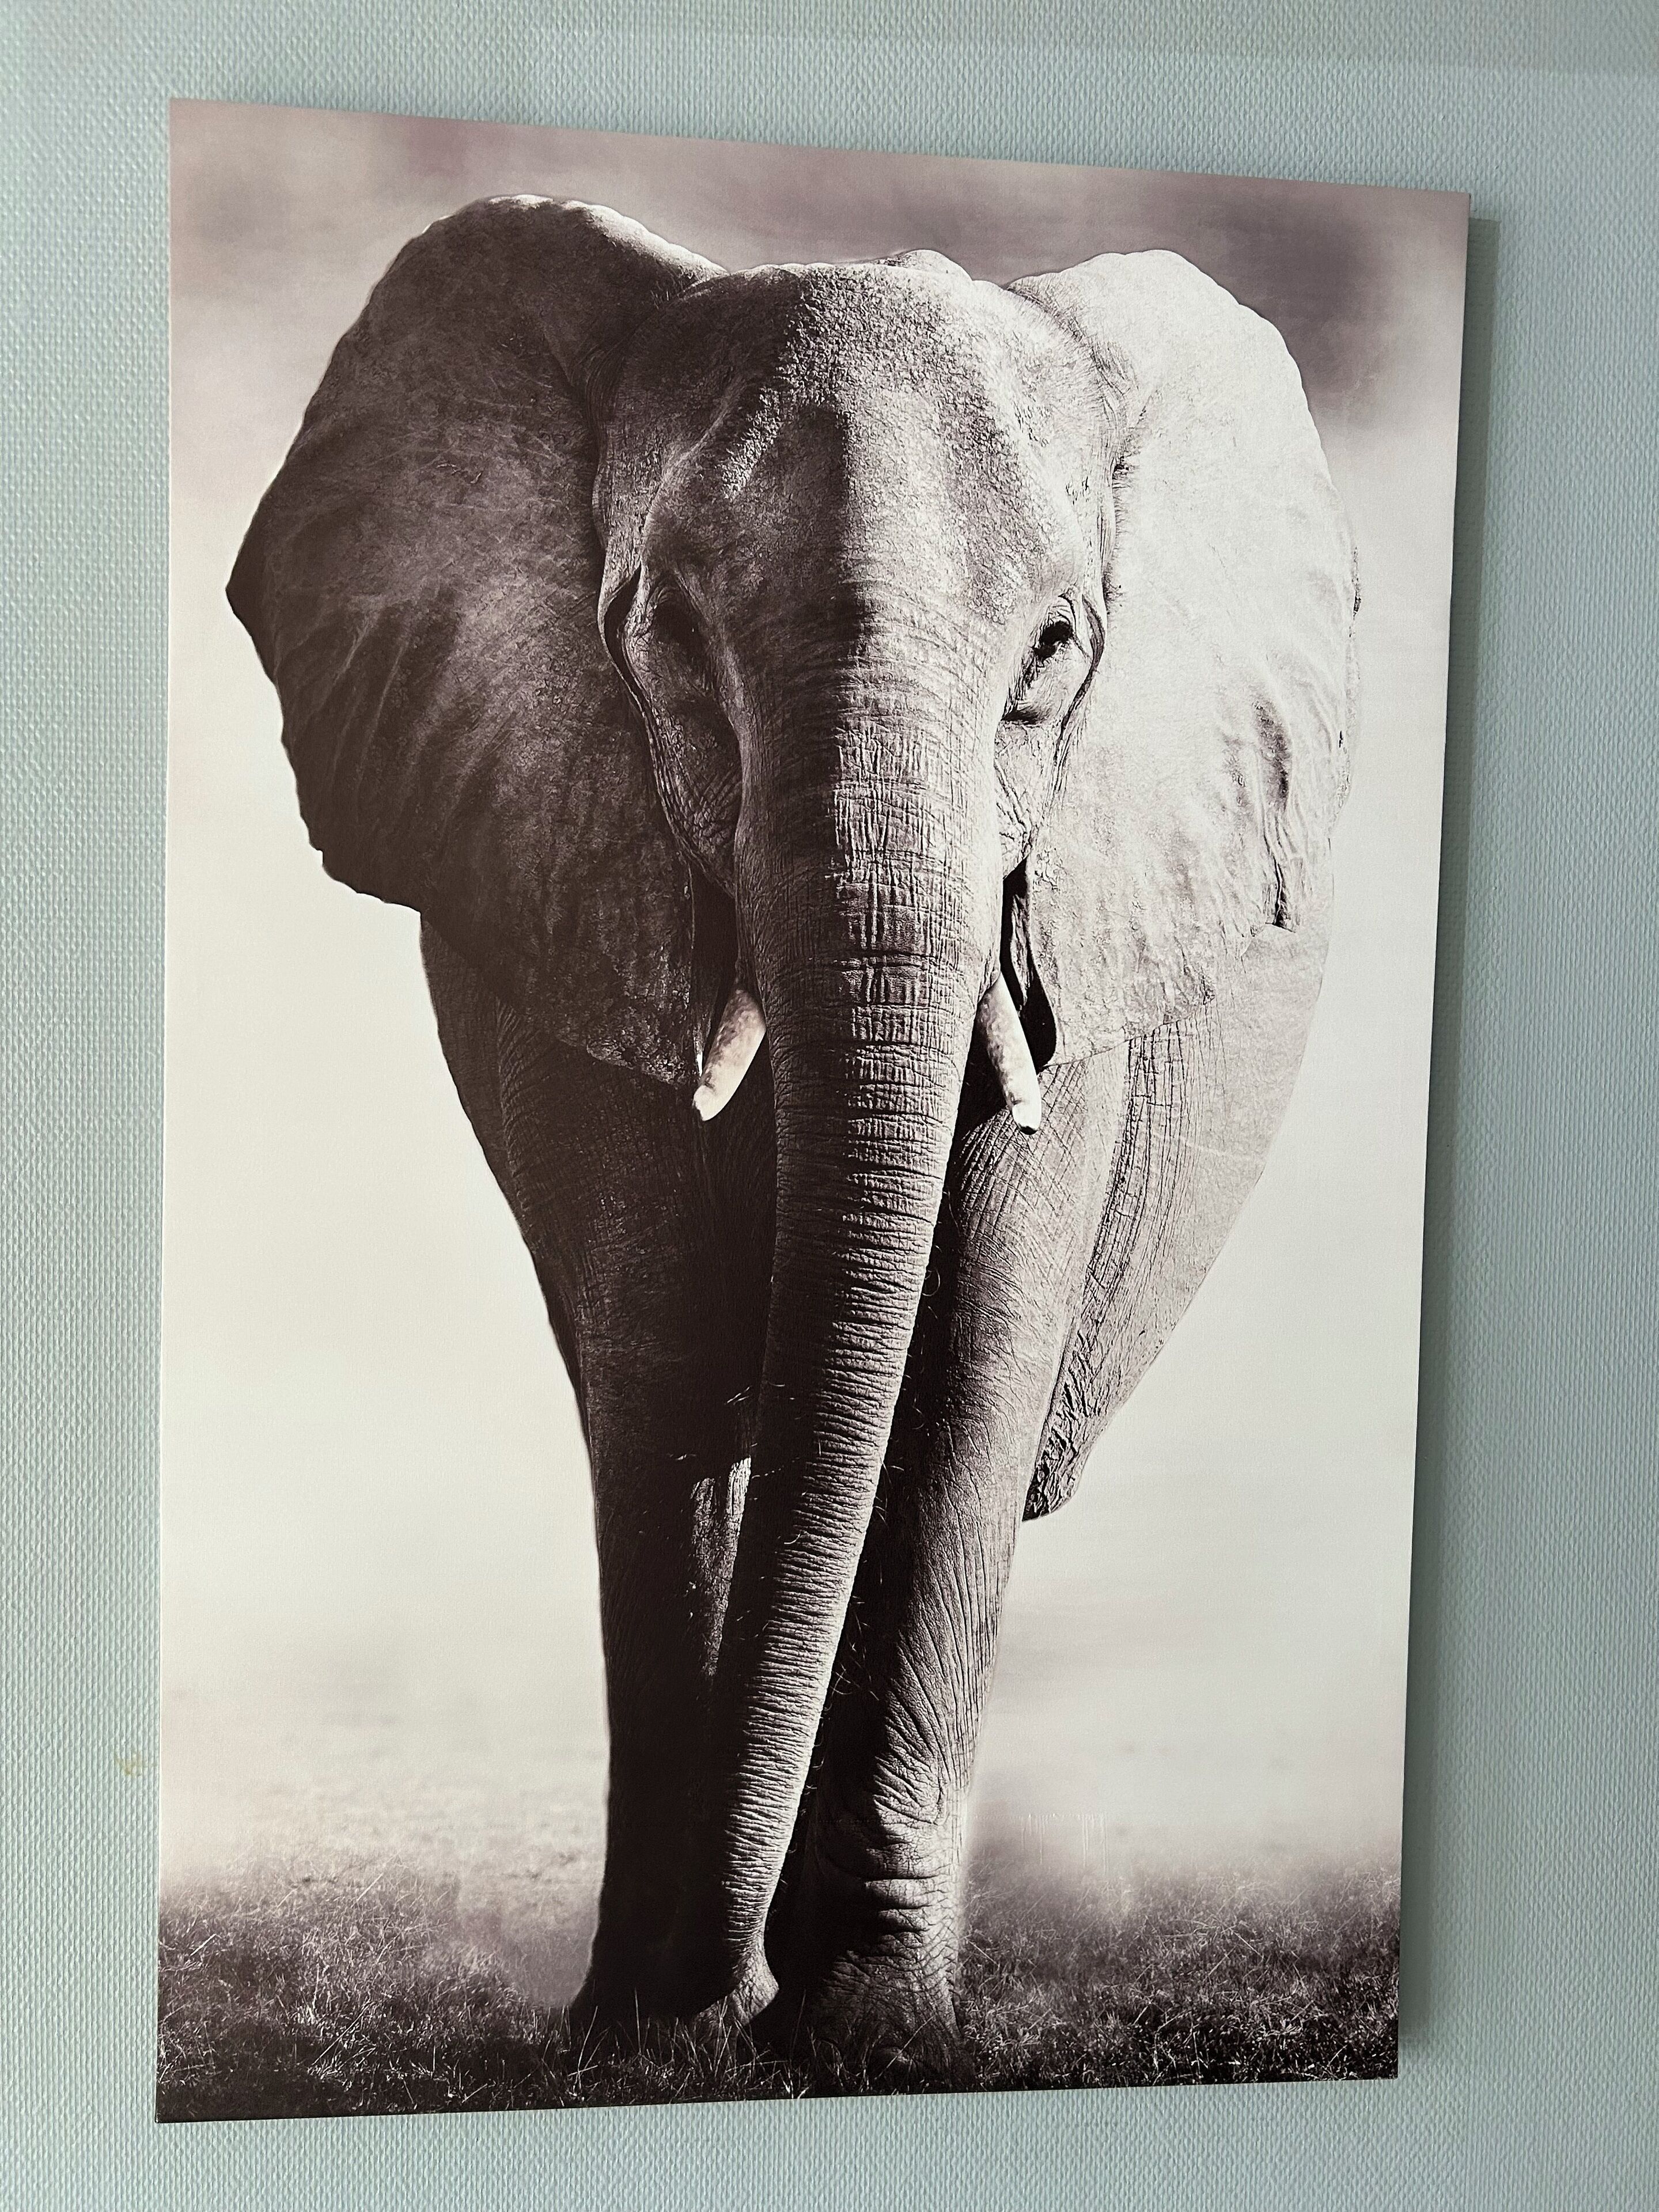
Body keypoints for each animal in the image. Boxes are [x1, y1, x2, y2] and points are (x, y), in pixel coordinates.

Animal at [227, 194, 1358, 2075]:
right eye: (669, 641)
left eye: (1054, 662)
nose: (721, 1987)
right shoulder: (570, 854)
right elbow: (667, 1363)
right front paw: (652, 2032)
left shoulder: (1070, 903)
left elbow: (963, 1371)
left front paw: (867, 2038)